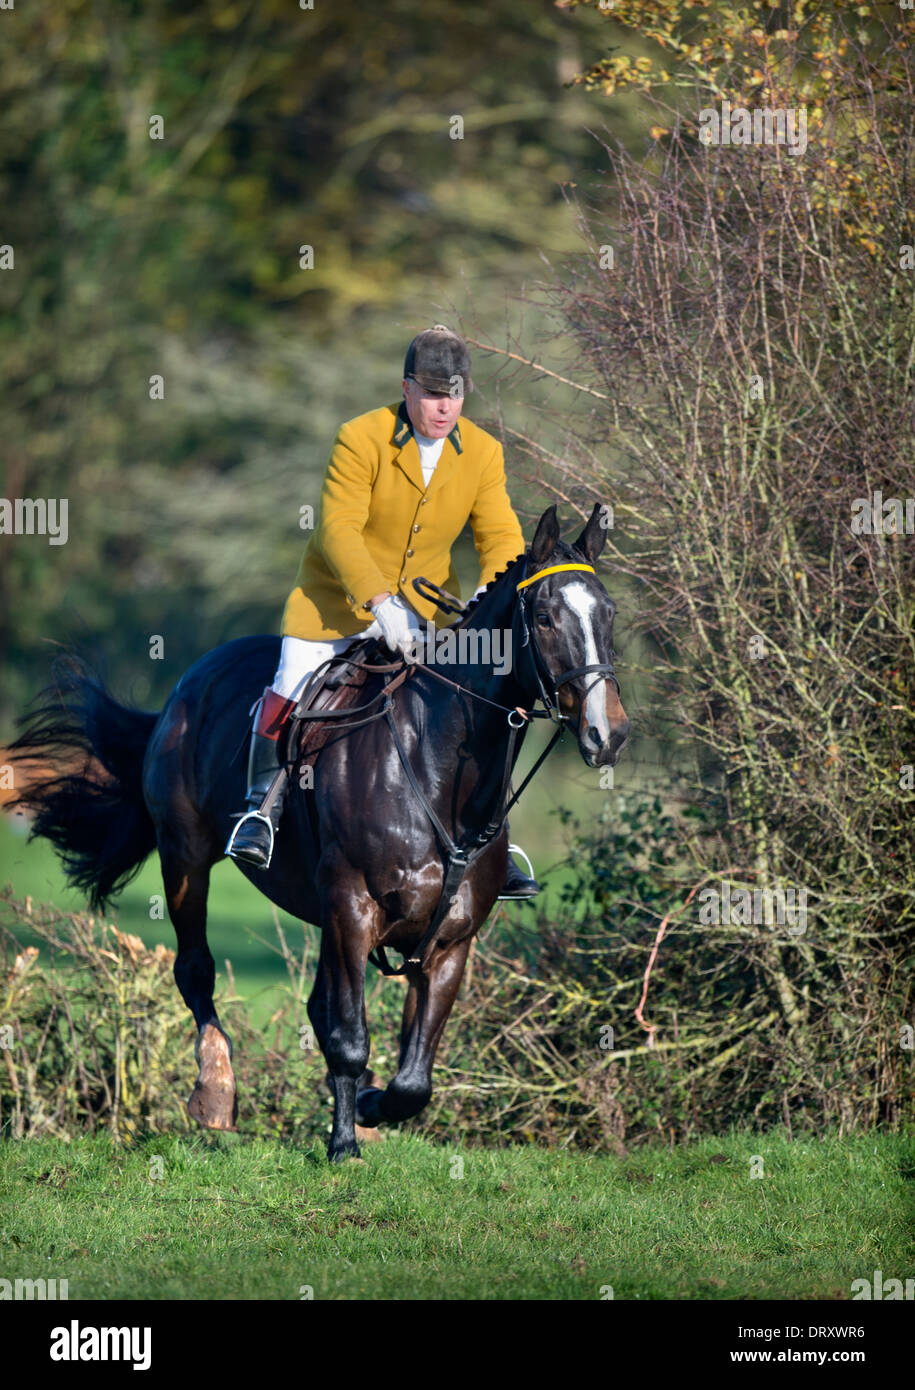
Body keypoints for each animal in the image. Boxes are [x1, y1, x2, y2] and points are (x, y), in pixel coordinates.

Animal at [8, 505, 628, 1156]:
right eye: (546, 617)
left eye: (609, 613)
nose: (608, 734)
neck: (434, 766)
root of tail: (186, 684)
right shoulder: (352, 907)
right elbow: (350, 1038)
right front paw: (344, 1143)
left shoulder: (450, 940)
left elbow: (414, 1079)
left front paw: (370, 1109)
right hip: (186, 858)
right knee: (197, 969)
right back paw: (216, 1091)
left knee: (315, 1007)